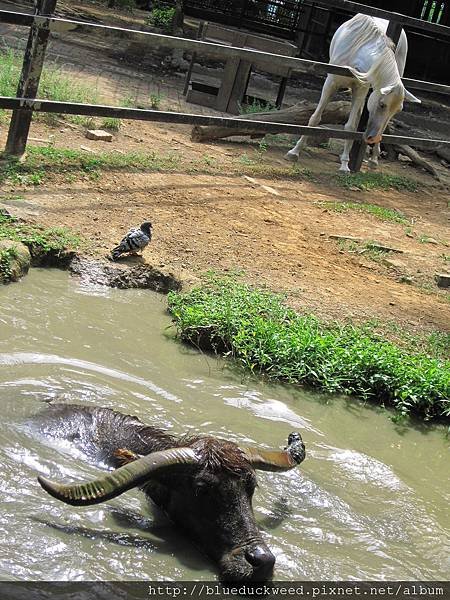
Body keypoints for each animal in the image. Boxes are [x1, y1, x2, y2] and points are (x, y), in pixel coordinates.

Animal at [286, 13, 420, 171]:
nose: (373, 138)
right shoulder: (330, 82)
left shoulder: (361, 88)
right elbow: (315, 118)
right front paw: (294, 152)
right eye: (381, 105)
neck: (358, 51)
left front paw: (345, 164)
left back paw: (373, 159)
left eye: (398, 110)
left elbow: (350, 126)